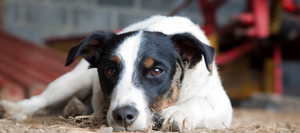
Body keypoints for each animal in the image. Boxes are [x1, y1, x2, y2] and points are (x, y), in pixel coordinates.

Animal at [0, 15, 233, 131]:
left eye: (157, 70)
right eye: (110, 71)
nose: (123, 116)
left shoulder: (221, 102)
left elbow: (200, 102)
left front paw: (179, 113)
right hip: (73, 81)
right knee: (40, 100)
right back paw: (15, 109)